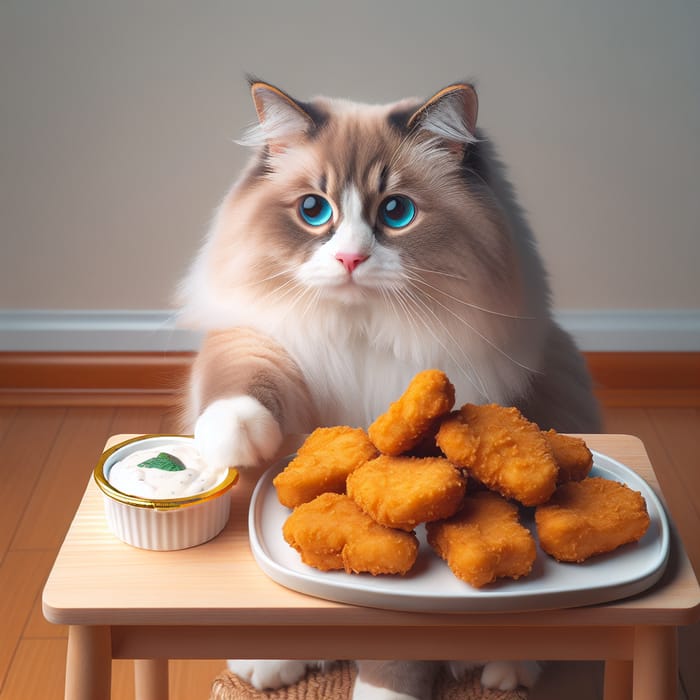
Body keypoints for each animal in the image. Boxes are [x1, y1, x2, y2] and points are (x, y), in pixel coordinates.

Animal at [176, 78, 600, 700]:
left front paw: (382, 691)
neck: (360, 332)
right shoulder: (270, 339)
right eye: (313, 210)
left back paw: (504, 673)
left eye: (396, 212)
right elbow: (242, 378)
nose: (350, 258)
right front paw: (236, 436)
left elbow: (396, 649)